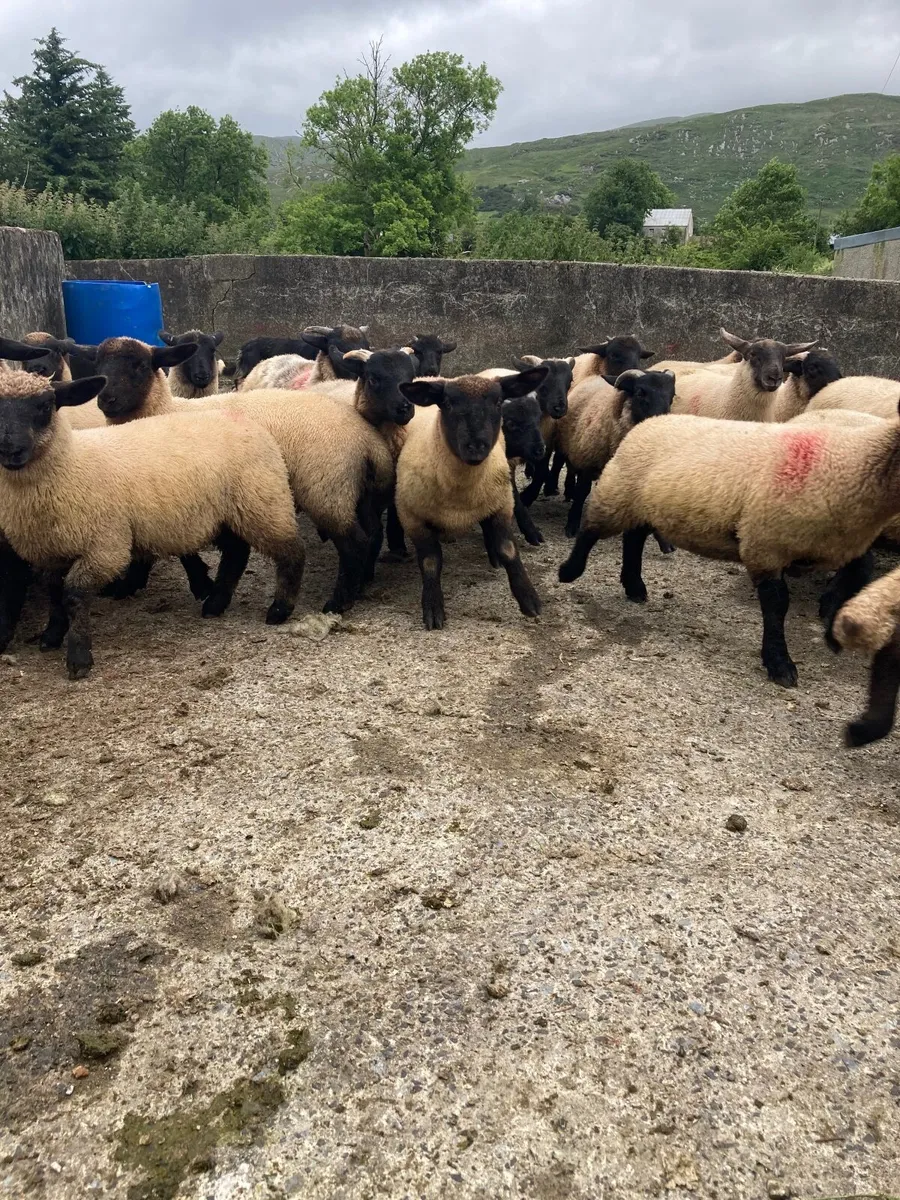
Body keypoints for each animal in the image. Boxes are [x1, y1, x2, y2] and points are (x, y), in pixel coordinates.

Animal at [0, 371, 306, 678]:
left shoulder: (106, 548)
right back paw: (215, 603)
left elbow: (74, 595)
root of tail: (246, 422)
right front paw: (52, 635)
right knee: (236, 554)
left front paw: (78, 657)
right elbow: (54, 593)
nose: (11, 450)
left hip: (263, 502)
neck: (71, 466)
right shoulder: (48, 552)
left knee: (291, 552)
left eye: (45, 405)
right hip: (225, 515)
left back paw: (279, 609)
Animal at [394, 368, 548, 630]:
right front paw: (433, 607)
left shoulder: (501, 505)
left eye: (498, 402)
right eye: (446, 403)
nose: (476, 447)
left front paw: (529, 600)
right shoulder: (412, 516)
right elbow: (430, 562)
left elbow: (509, 550)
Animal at [555, 369, 676, 536]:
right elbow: (582, 492)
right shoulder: (588, 462)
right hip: (567, 446)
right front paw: (572, 525)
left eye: (672, 395)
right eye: (640, 392)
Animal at [556, 404, 900, 688]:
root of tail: (648, 423)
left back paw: (634, 585)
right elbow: (777, 604)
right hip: (618, 492)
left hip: (644, 504)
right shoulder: (764, 543)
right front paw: (780, 664)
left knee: (633, 539)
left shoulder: (840, 546)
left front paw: (833, 626)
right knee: (590, 529)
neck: (850, 461)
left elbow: (861, 573)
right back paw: (569, 571)